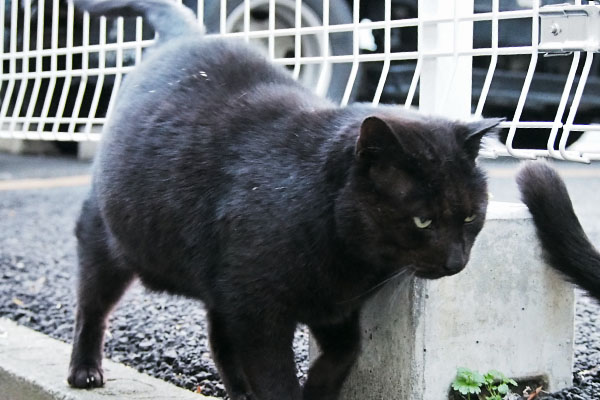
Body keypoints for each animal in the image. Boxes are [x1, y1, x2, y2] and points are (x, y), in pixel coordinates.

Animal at [68, 1, 502, 398]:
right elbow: (276, 379)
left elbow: (346, 351)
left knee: (219, 337)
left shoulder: (334, 306)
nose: (456, 262)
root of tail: (187, 36)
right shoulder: (259, 314)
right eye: (423, 220)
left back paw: (240, 391)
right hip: (104, 241)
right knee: (92, 308)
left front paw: (318, 388)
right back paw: (84, 370)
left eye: (470, 218)